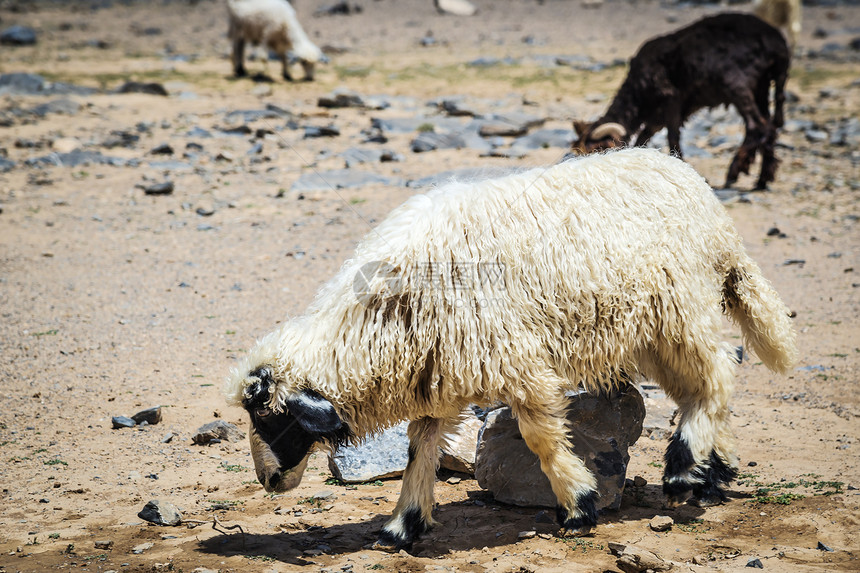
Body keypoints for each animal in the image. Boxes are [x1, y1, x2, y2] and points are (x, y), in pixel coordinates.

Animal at [223, 147, 800, 548]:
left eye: (270, 417)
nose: (268, 480)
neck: (379, 324)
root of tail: (695, 185)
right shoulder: (438, 370)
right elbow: (419, 450)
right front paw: (402, 524)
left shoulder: (516, 361)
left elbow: (541, 439)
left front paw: (579, 504)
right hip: (653, 328)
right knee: (699, 390)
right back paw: (712, 471)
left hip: (679, 308)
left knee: (717, 375)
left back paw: (682, 470)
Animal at [576, 13, 788, 189]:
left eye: (599, 148)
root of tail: (778, 46)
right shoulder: (660, 115)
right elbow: (643, 137)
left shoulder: (672, 100)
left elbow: (672, 137)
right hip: (762, 87)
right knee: (770, 126)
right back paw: (762, 179)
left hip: (738, 85)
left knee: (757, 125)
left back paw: (734, 173)